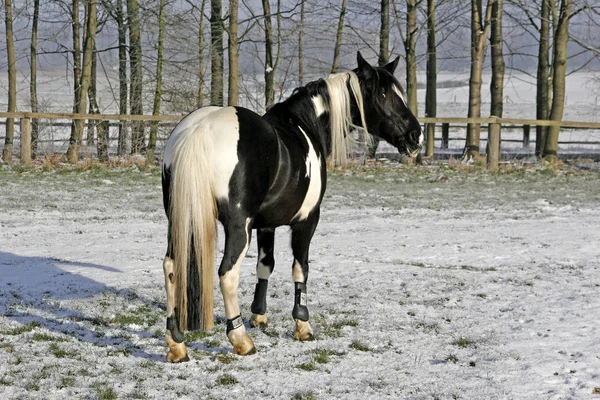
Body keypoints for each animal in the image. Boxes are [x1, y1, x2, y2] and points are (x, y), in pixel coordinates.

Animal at [159, 50, 422, 362]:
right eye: (383, 94)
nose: (416, 135)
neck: (305, 125)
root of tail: (200, 129)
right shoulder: (307, 220)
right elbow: (301, 267)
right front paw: (303, 325)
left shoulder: (266, 224)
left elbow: (265, 265)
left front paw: (259, 316)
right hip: (238, 227)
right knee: (227, 273)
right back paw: (240, 339)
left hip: (180, 220)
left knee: (171, 267)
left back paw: (177, 343)